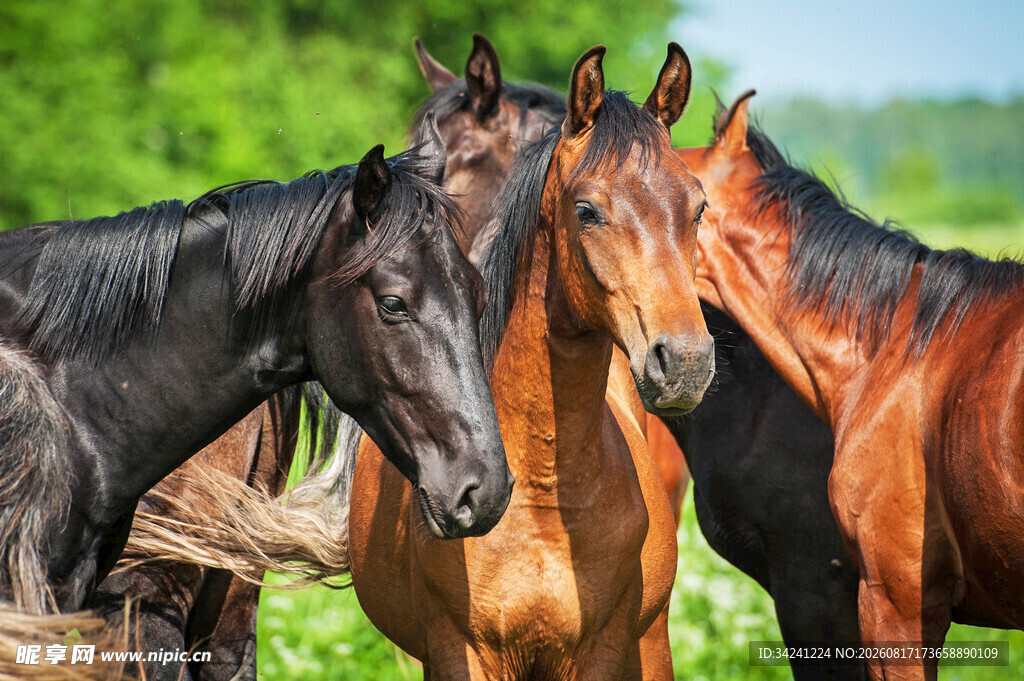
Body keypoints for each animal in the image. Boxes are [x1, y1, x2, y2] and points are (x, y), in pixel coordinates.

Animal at [349, 43, 712, 680]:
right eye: (586, 210)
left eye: (697, 207)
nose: (686, 361)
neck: (542, 495)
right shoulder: (459, 651)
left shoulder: (604, 650)